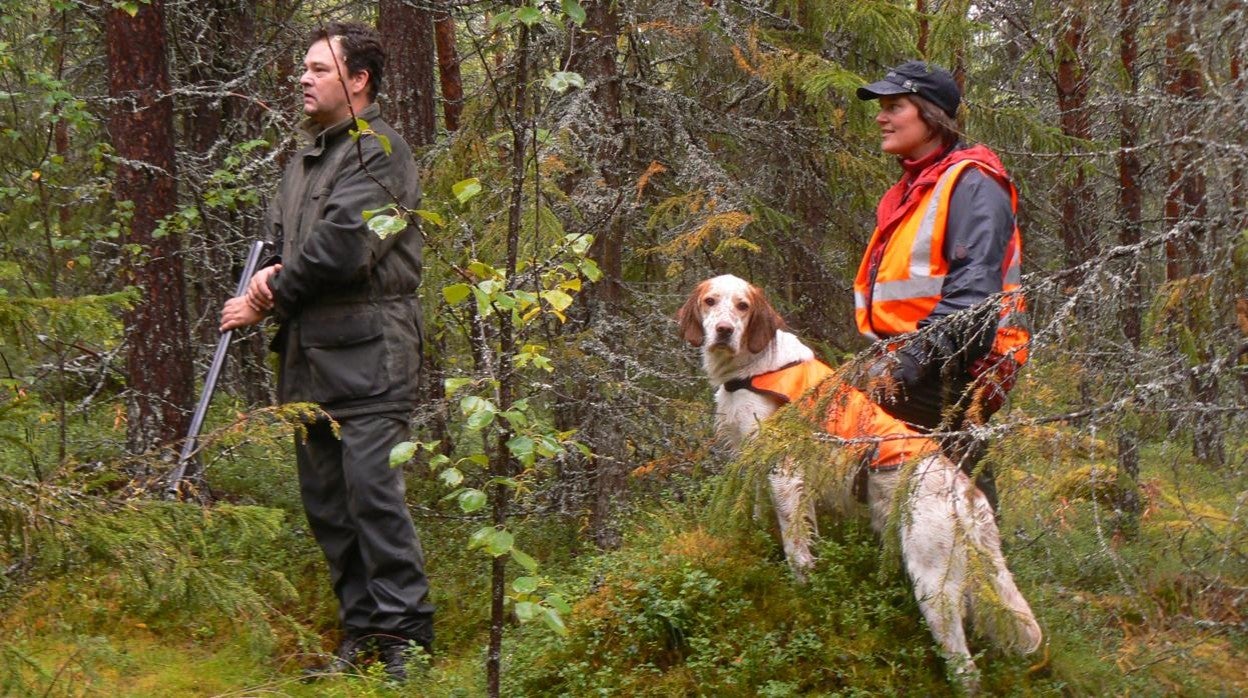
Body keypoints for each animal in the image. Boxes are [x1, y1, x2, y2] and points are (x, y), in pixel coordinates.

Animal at [678, 275, 1038, 684]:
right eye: (710, 301)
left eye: (742, 306)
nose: (724, 331)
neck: (754, 368)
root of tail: (966, 494)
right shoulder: (757, 462)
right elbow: (757, 511)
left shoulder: (785, 473)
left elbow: (796, 548)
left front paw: (802, 591)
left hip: (934, 582)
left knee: (965, 667)